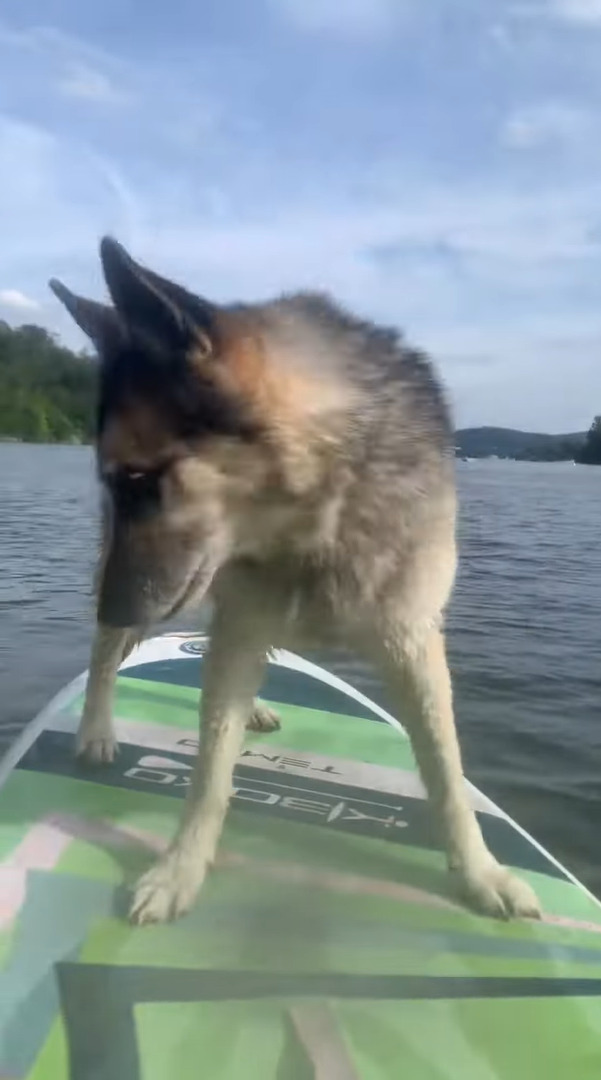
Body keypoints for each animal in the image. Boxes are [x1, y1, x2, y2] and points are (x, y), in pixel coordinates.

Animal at [50, 238, 540, 928]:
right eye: (117, 482)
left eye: (143, 479)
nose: (113, 608)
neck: (318, 513)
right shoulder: (237, 613)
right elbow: (208, 774)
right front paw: (179, 871)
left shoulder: (412, 640)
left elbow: (447, 774)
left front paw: (480, 874)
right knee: (107, 659)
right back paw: (97, 728)